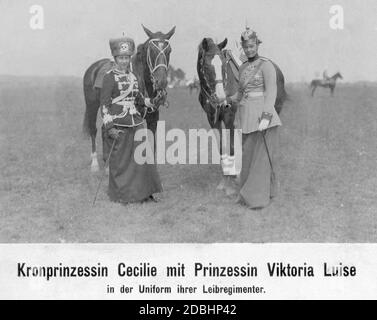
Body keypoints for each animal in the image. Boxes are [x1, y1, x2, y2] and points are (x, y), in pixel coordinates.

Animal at [82, 25, 175, 171]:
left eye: (169, 50)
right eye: (151, 50)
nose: (162, 81)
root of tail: (93, 67)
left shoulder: (153, 119)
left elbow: (152, 143)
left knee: (105, 129)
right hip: (92, 106)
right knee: (94, 129)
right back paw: (95, 164)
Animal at [197, 37, 284, 192]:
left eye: (223, 65)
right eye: (206, 66)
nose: (221, 97)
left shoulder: (230, 118)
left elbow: (231, 147)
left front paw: (231, 183)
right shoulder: (213, 120)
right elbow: (222, 148)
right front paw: (225, 180)